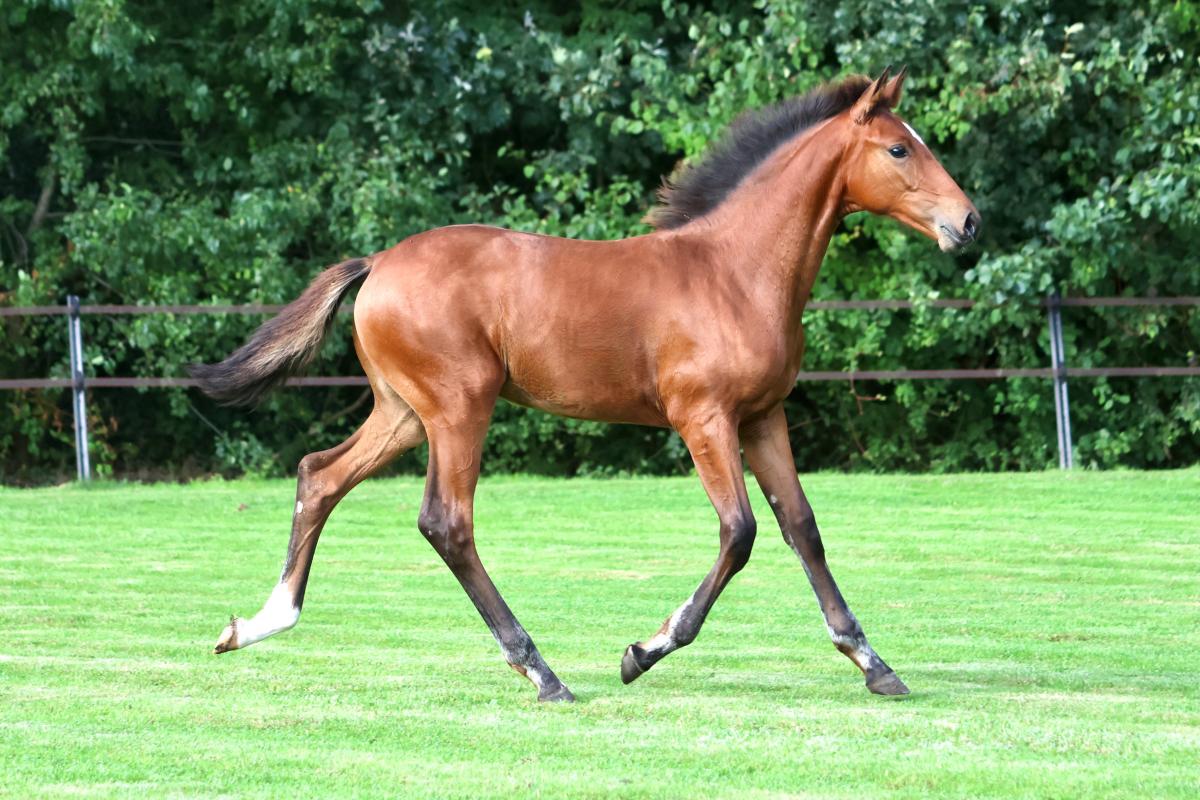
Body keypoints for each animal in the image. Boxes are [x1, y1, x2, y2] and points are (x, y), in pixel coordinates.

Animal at [193, 67, 979, 702]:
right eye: (900, 149)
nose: (969, 223)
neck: (734, 271)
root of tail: (378, 262)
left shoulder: (763, 418)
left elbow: (803, 529)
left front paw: (875, 665)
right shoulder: (704, 418)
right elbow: (741, 532)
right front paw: (644, 651)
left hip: (404, 413)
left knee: (320, 476)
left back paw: (256, 625)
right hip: (458, 407)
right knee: (447, 522)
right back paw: (541, 673)